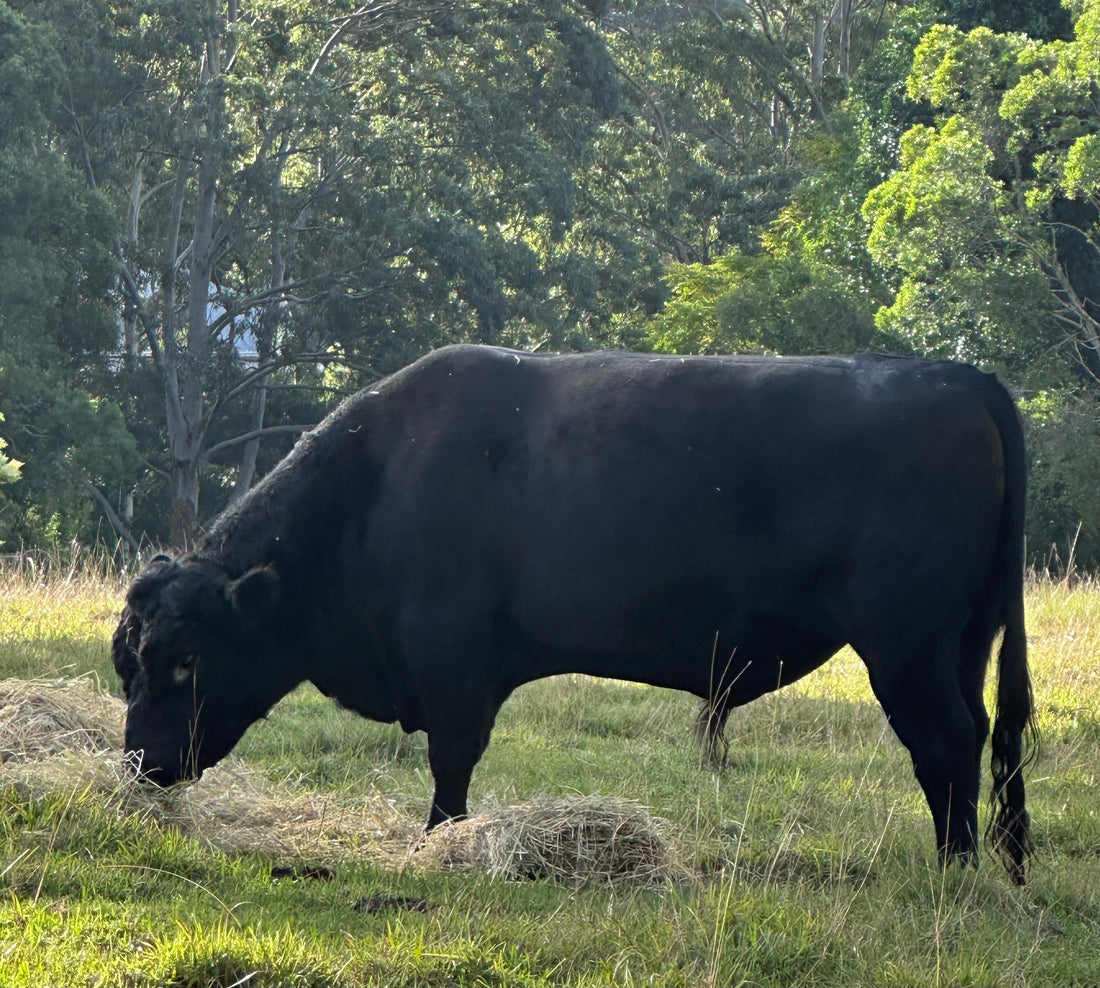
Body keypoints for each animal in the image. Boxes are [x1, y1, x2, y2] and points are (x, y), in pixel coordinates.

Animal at [112, 345, 1036, 883]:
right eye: (127, 663)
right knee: (981, 738)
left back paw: (956, 872)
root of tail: (959, 377)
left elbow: (452, 766)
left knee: (949, 745)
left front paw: (442, 844)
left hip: (906, 650)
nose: (140, 767)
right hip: (957, 644)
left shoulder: (454, 666)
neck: (374, 484)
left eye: (187, 660)